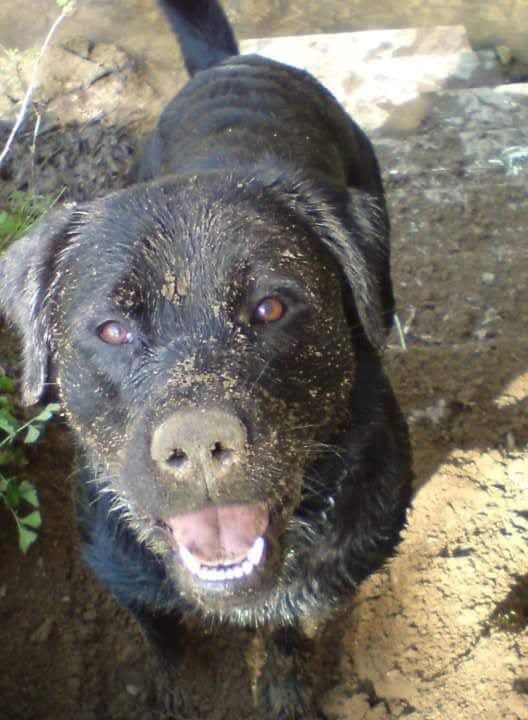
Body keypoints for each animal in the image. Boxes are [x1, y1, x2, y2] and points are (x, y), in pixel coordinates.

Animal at [0, 1, 412, 716]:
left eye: (271, 308)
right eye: (112, 330)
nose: (198, 445)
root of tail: (233, 62)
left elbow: (288, 630)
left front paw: (285, 689)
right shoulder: (130, 583)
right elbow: (165, 642)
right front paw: (174, 692)